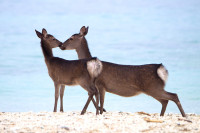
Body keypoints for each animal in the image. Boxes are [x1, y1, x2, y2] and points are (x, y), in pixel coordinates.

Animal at [58, 25, 187, 116]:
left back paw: (184, 116)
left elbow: (101, 101)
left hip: (153, 87)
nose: (61, 45)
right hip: (154, 88)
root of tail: (160, 69)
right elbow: (98, 100)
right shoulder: (100, 86)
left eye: (71, 38)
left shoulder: (101, 84)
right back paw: (162, 116)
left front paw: (99, 113)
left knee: (173, 95)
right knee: (165, 101)